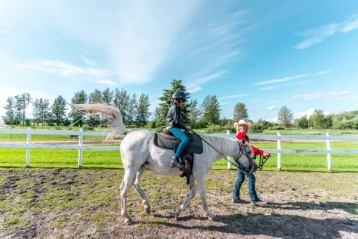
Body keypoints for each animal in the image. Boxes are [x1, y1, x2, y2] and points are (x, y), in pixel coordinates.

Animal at [72, 103, 241, 224]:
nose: (248, 167)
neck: (208, 148)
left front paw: (178, 212)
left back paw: (147, 207)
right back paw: (127, 217)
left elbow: (192, 194)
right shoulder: (199, 175)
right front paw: (209, 214)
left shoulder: (192, 174)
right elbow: (203, 195)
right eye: (247, 151)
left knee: (135, 185)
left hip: (140, 167)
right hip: (131, 168)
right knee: (124, 190)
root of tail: (129, 133)